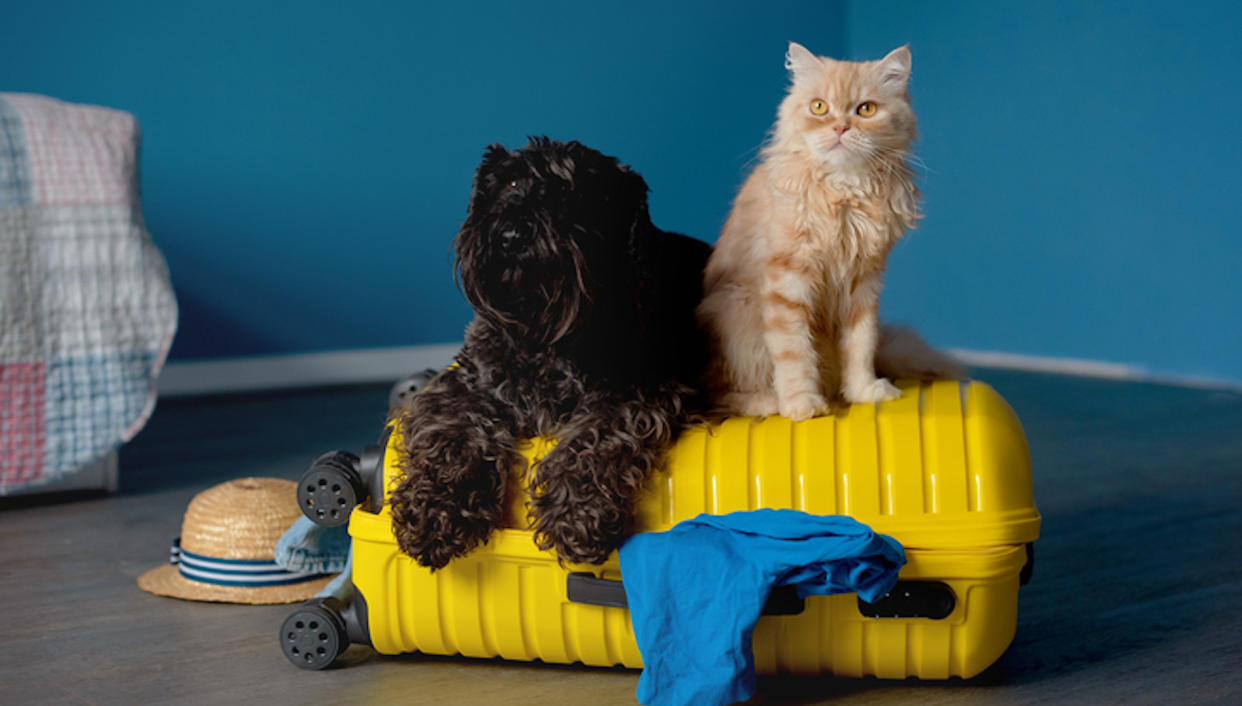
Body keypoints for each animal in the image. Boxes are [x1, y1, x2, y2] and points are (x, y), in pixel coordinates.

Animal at [392, 136, 715, 569]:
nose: (511, 235)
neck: (539, 335)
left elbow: (591, 441)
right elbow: (451, 431)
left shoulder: (639, 394)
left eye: (573, 191)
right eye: (510, 183)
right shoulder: (464, 385)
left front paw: (576, 514)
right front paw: (434, 509)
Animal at [700, 42, 958, 420]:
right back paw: (769, 402)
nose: (839, 128)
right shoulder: (787, 280)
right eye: (819, 107)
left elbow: (861, 344)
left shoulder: (863, 281)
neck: (846, 191)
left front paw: (863, 391)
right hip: (736, 317)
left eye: (866, 110)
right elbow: (793, 351)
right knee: (720, 396)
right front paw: (802, 403)